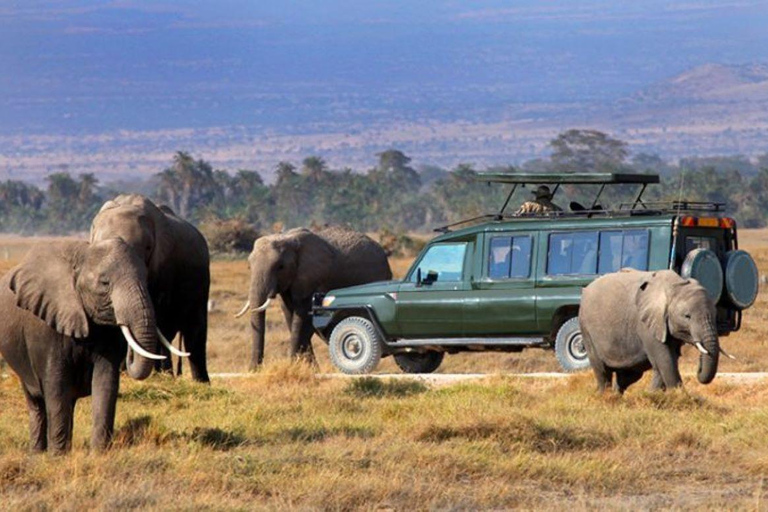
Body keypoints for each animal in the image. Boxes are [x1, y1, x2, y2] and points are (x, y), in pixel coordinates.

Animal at [0, 240, 178, 452]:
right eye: (105, 283)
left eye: (146, 279)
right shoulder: (46, 327)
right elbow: (56, 384)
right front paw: (57, 456)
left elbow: (106, 381)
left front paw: (99, 453)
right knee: (36, 401)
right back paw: (38, 453)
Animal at [580, 270, 728, 394]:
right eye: (687, 316)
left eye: (715, 315)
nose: (699, 366)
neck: (675, 284)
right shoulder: (646, 324)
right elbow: (665, 359)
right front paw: (677, 395)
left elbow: (669, 360)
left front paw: (653, 394)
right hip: (585, 327)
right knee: (602, 370)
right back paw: (604, 396)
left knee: (629, 375)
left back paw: (616, 396)